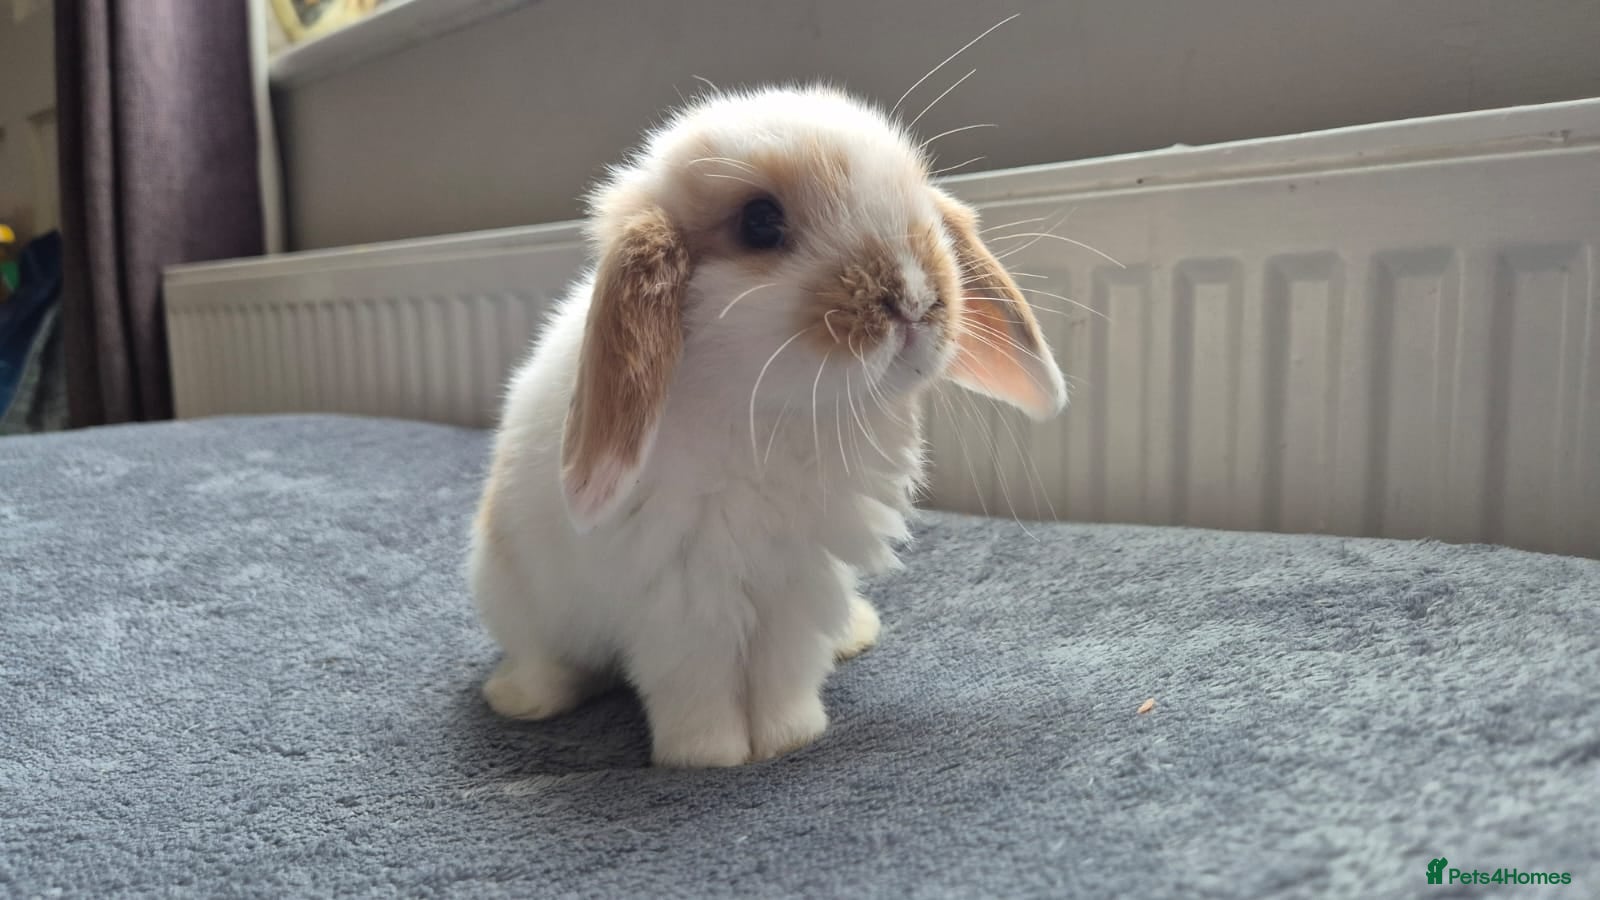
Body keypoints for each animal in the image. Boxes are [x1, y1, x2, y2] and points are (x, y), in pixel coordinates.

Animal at [468, 84, 1066, 768]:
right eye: (759, 222)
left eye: (919, 198)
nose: (915, 298)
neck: (778, 416)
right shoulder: (682, 600)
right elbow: (695, 683)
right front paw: (708, 757)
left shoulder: (799, 585)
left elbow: (785, 670)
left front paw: (789, 738)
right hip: (510, 592)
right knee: (547, 659)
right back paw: (520, 699)